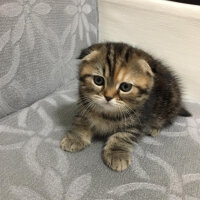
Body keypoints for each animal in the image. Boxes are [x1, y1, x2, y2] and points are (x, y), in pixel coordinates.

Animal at [59, 42, 191, 172]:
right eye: (98, 80)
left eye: (125, 87)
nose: (108, 97)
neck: (106, 114)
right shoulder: (84, 106)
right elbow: (81, 122)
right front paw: (75, 138)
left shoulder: (137, 121)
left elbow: (122, 136)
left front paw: (117, 154)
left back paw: (154, 128)